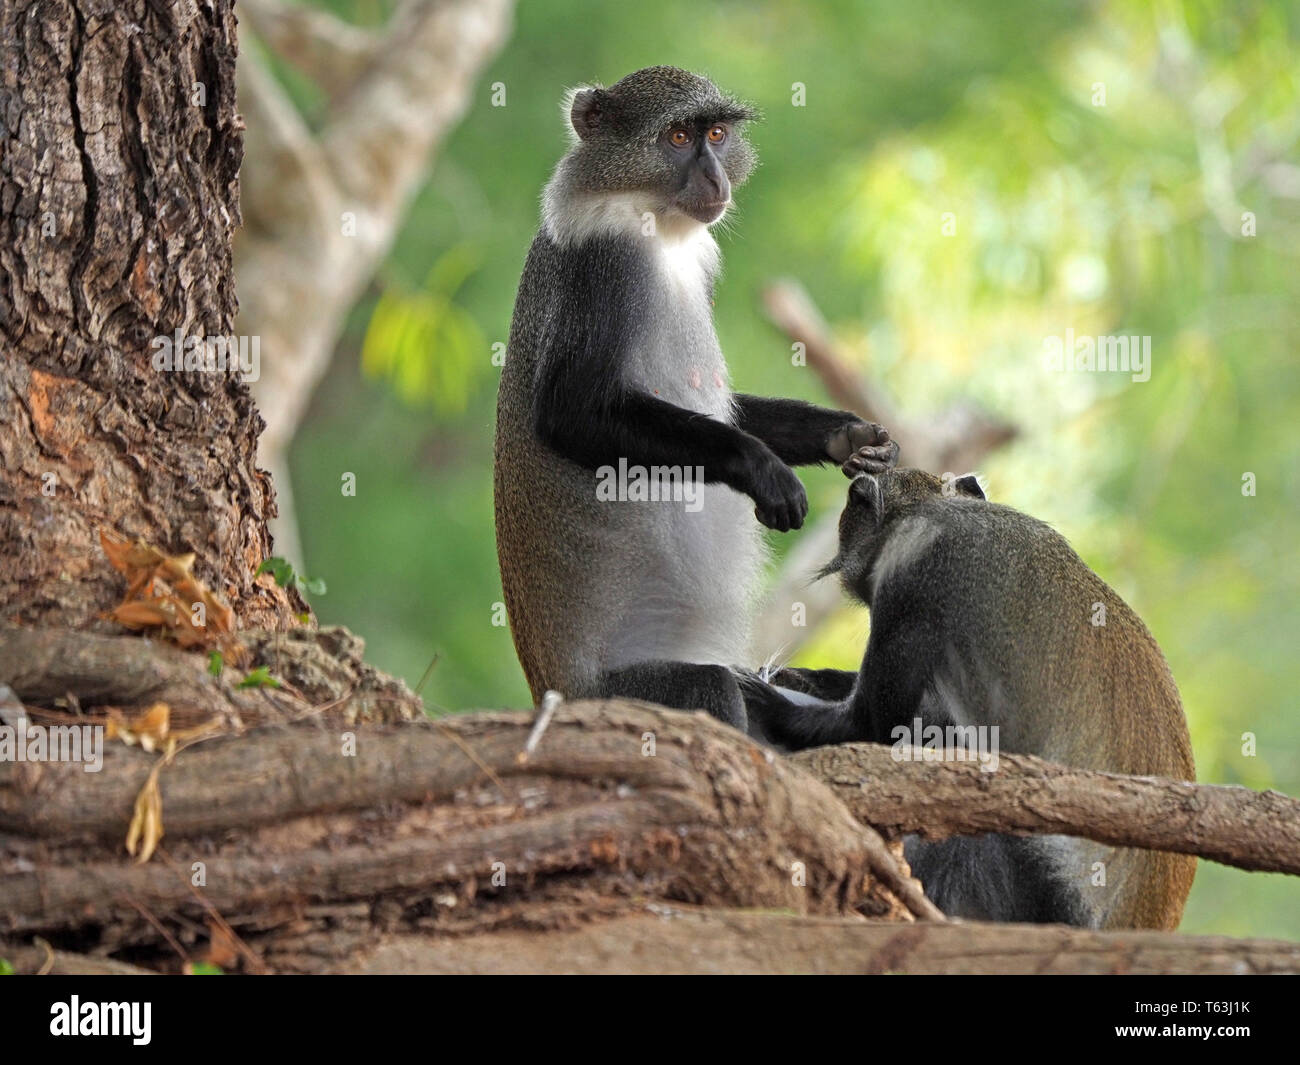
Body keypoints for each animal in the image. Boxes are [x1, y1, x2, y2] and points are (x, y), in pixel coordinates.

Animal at [493, 66, 899, 734]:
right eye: (678, 137)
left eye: (715, 134)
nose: (714, 177)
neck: (656, 224)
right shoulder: (604, 263)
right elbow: (570, 413)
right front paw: (761, 468)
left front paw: (846, 434)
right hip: (622, 695)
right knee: (711, 686)